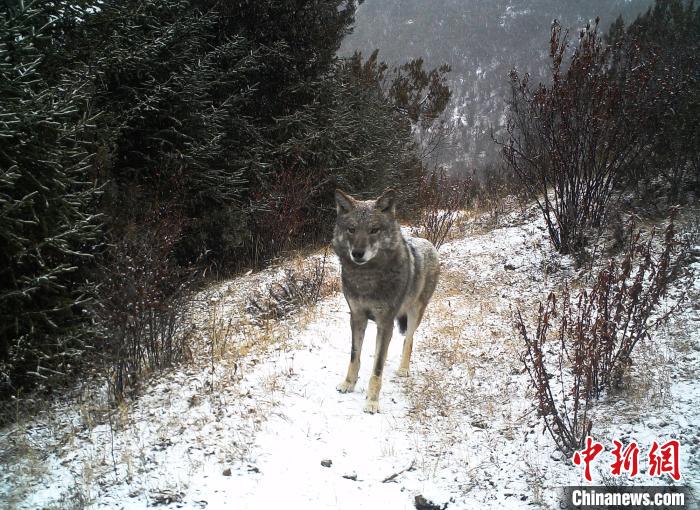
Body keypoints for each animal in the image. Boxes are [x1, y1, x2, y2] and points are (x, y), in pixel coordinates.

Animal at [332, 189, 438, 412]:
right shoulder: (357, 317)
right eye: (352, 229)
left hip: (415, 314)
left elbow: (378, 368)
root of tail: (428, 243)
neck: (366, 277)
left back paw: (404, 369)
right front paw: (348, 383)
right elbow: (355, 356)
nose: (357, 253)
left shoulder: (385, 323)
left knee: (409, 340)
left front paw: (372, 401)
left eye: (374, 230)